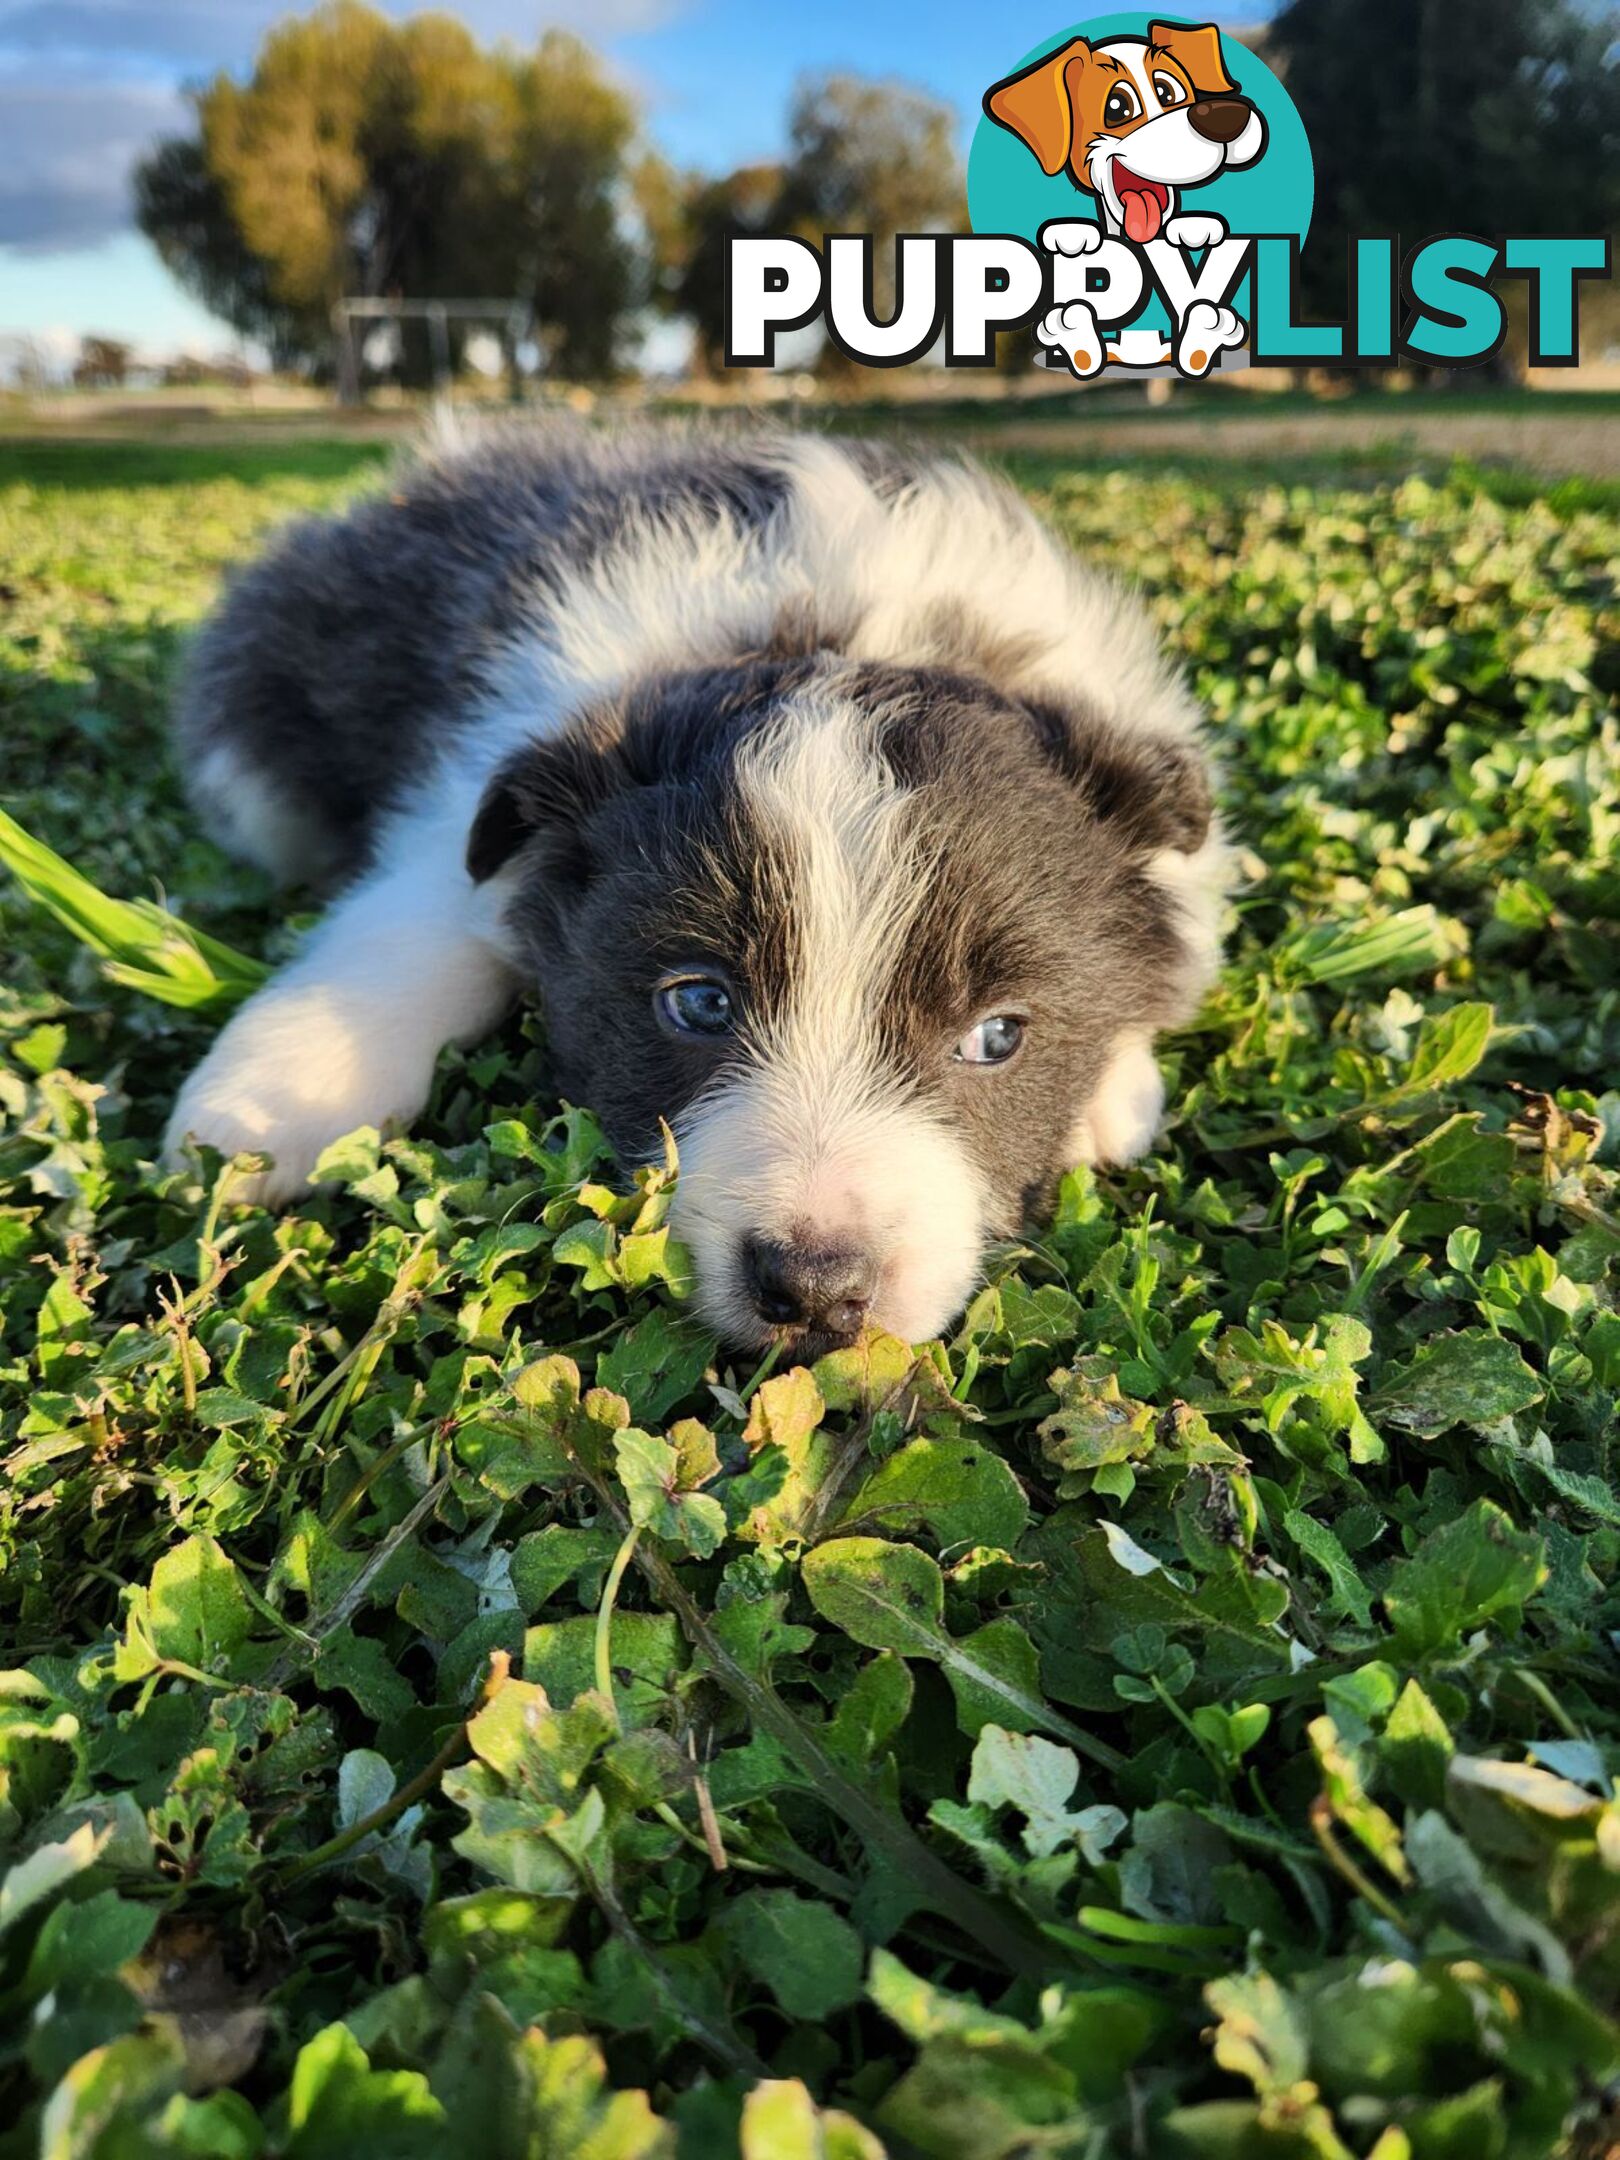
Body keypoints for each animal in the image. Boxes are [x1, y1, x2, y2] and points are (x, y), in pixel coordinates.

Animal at [168, 425, 1226, 1347]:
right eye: (701, 1003)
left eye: (998, 1037)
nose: (817, 1289)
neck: (836, 623)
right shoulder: (478, 798)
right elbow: (417, 929)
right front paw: (260, 1116)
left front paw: (1112, 1087)